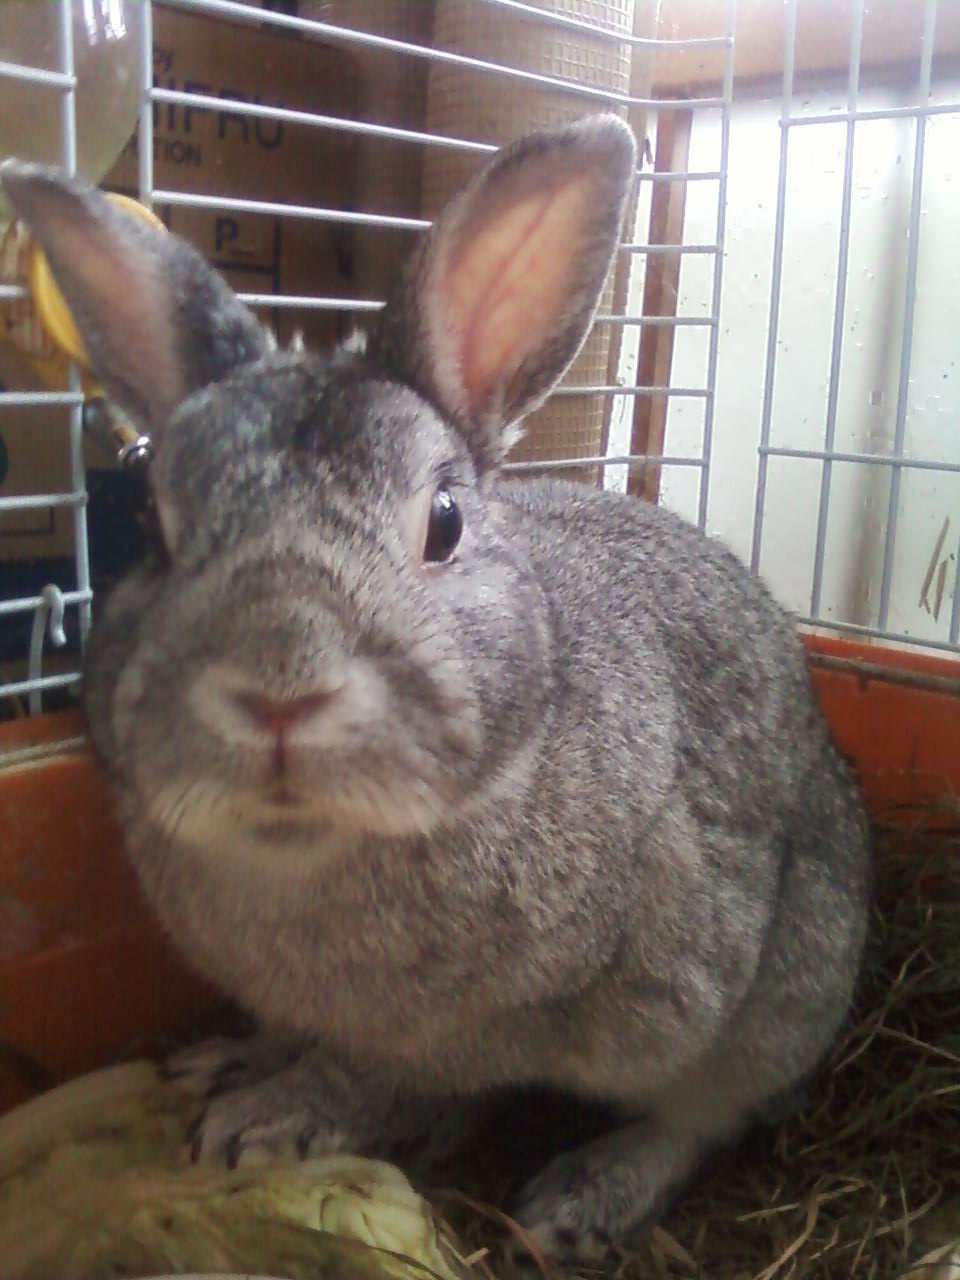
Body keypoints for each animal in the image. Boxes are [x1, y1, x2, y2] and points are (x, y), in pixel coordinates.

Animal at [0, 114, 871, 1262]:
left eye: (445, 525)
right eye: (152, 525)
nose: (280, 685)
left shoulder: (475, 1025)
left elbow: (371, 1074)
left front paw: (263, 1120)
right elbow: (289, 1030)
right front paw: (226, 1062)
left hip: (776, 988)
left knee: (706, 1113)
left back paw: (584, 1194)